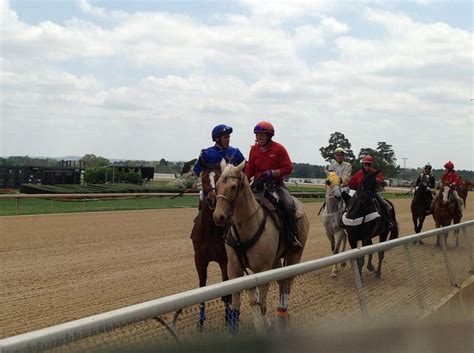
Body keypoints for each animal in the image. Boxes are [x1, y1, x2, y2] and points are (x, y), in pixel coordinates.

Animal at [212, 160, 310, 332]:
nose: (218, 217)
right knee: (281, 282)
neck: (248, 227)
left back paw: (282, 314)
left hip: (294, 256)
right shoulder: (234, 269)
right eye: (217, 185)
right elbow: (236, 304)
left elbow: (262, 304)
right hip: (276, 260)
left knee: (287, 283)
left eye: (233, 187)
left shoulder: (263, 269)